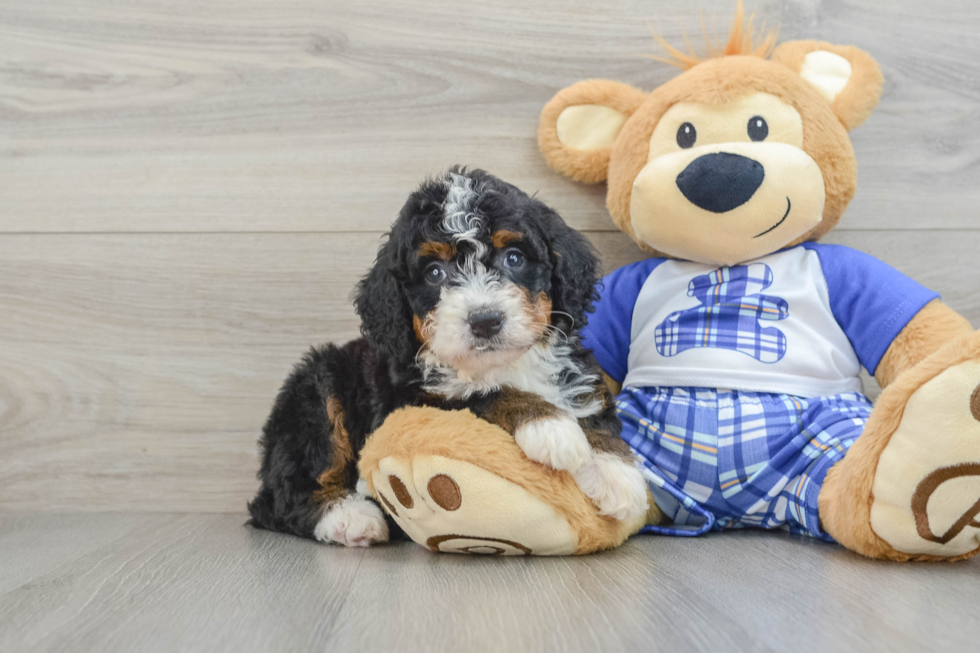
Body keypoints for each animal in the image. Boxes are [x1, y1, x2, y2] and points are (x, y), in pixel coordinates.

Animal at [245, 167, 648, 544]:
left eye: (514, 258)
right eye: (435, 272)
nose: (485, 320)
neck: (503, 365)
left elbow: (591, 406)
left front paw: (618, 473)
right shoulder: (411, 400)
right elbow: (483, 393)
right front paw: (549, 425)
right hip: (317, 389)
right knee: (283, 495)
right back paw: (350, 517)